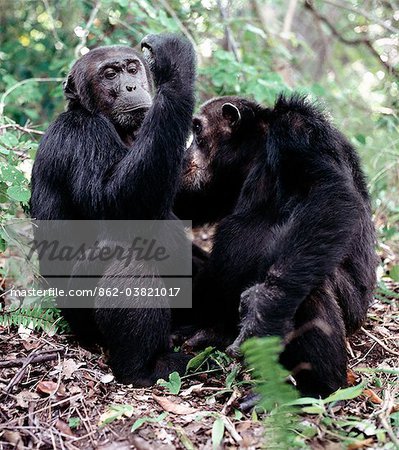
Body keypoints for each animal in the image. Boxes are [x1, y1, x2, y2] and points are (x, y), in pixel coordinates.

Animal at [29, 35, 197, 386]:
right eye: (109, 75)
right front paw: (175, 67)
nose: (131, 86)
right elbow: (117, 204)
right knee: (128, 253)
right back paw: (144, 367)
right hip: (80, 318)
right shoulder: (81, 135)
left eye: (131, 68)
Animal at [176, 96, 378, 398]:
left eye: (197, 129)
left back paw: (316, 390)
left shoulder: (297, 133)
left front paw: (265, 306)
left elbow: (330, 193)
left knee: (309, 288)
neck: (256, 150)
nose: (187, 152)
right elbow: (189, 205)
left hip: (352, 310)